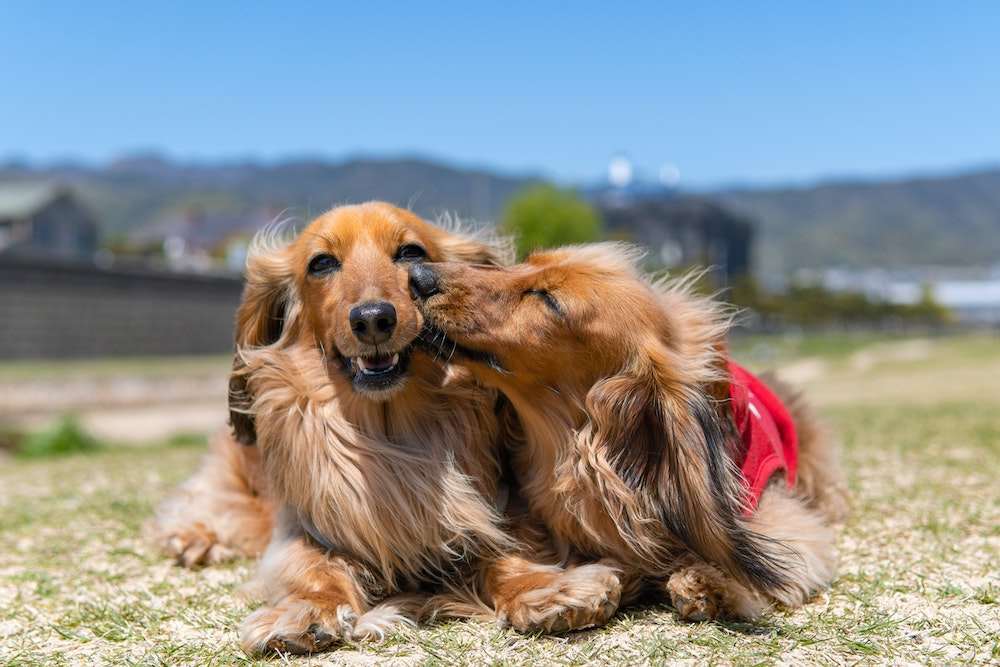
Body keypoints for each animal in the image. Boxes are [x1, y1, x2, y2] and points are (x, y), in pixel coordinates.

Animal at [156, 205, 624, 656]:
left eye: (410, 253)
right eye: (321, 262)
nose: (373, 319)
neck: (389, 432)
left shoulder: (495, 512)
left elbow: (505, 554)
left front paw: (545, 589)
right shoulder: (305, 529)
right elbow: (312, 568)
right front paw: (305, 610)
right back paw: (193, 538)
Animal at [410, 243, 848, 624]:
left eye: (549, 300)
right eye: (522, 263)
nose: (417, 274)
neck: (578, 454)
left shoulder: (774, 511)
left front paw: (712, 582)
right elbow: (498, 562)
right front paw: (545, 592)